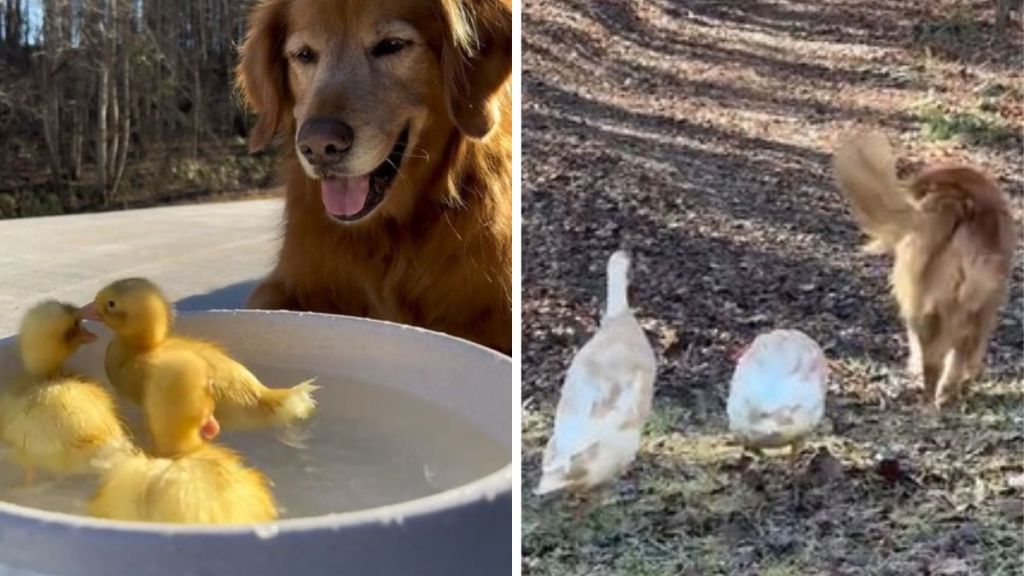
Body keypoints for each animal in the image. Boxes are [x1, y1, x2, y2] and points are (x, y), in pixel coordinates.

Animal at [835, 130, 1011, 407]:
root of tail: (956, 202)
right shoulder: (986, 307)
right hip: (962, 305)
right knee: (954, 353)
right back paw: (942, 396)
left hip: (925, 305)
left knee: (937, 358)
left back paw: (931, 398)